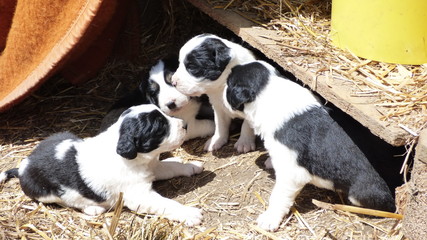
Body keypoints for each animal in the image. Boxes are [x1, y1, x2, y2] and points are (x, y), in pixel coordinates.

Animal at [0, 104, 204, 226]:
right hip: (46, 193)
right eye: (160, 127)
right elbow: (165, 204)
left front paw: (193, 166)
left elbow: (172, 167)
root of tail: (23, 166)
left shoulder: (152, 168)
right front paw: (190, 214)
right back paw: (92, 208)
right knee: (65, 201)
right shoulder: (139, 196)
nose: (185, 125)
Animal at [226, 61, 396, 232]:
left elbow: (278, 197)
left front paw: (269, 219)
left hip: (361, 192)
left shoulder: (291, 173)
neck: (269, 89)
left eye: (228, 84)